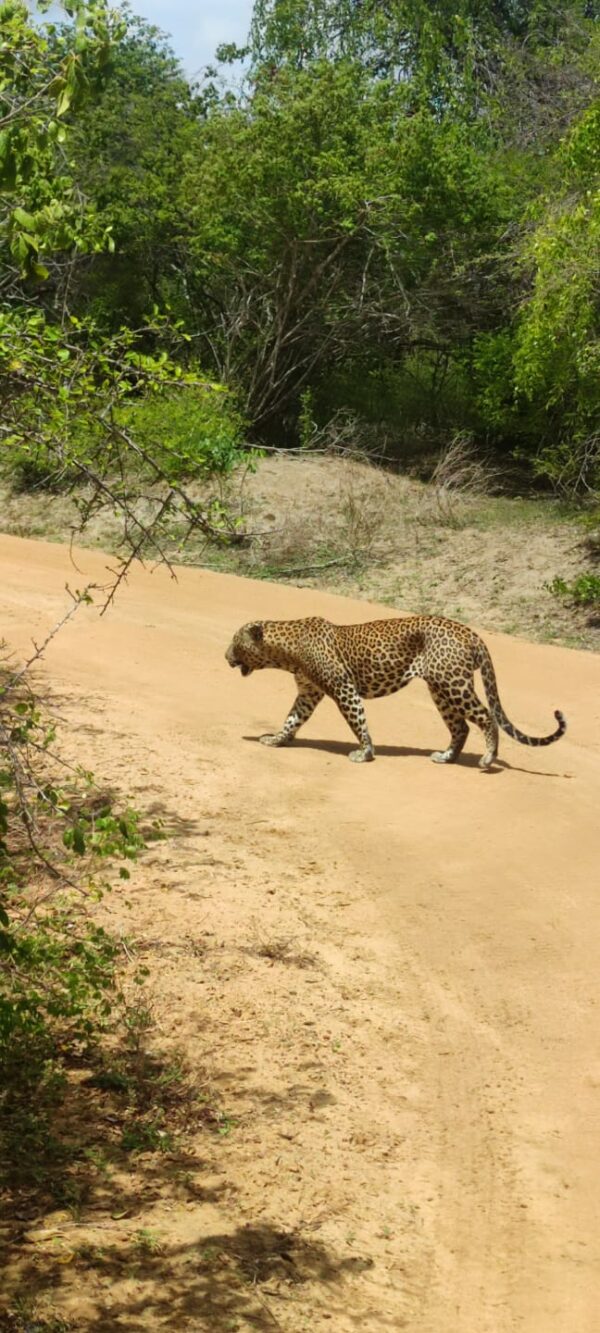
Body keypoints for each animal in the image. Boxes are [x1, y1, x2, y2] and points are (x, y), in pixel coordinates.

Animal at [225, 613, 568, 773]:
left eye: (235, 642)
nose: (225, 656)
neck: (286, 651)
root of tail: (471, 633)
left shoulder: (344, 688)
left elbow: (358, 722)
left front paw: (365, 753)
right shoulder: (308, 693)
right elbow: (292, 719)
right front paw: (276, 740)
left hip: (452, 683)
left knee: (485, 717)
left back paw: (487, 758)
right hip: (440, 688)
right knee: (460, 727)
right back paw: (446, 757)